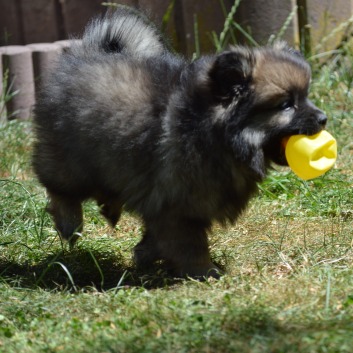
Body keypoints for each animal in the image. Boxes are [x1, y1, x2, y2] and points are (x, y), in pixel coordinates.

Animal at [31, 8, 326, 276]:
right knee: (59, 189)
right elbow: (190, 244)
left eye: (306, 96)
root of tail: (88, 53)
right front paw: (205, 271)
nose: (323, 119)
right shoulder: (179, 207)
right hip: (71, 161)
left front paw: (144, 254)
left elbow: (157, 237)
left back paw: (109, 208)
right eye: (286, 105)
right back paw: (70, 225)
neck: (216, 134)